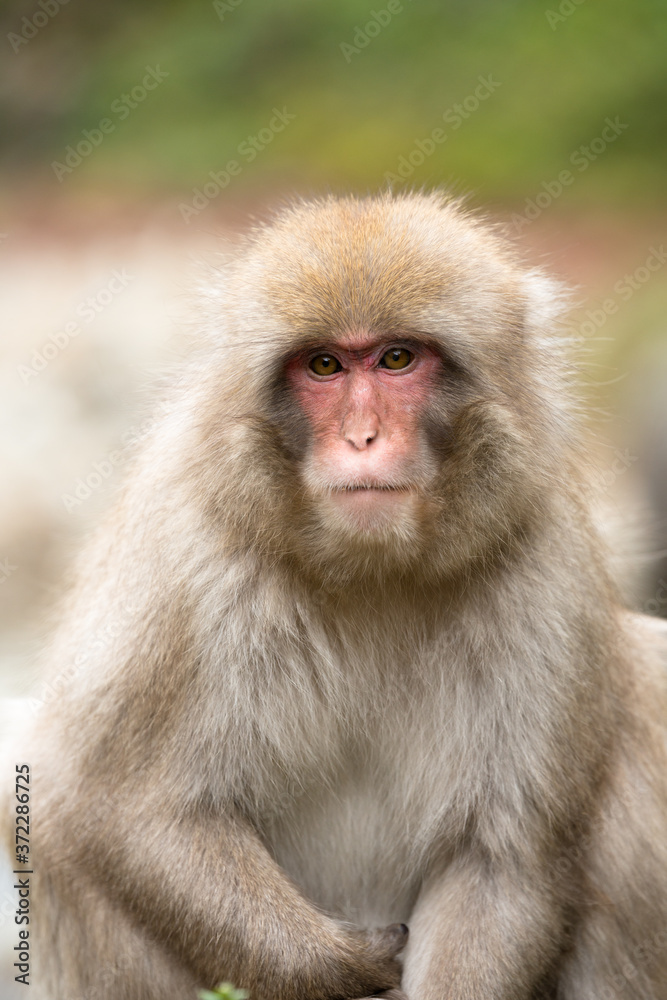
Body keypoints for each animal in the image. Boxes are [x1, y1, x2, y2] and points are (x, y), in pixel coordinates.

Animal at [7, 189, 667, 1000]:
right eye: (323, 365)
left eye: (396, 359)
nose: (361, 438)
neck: (371, 573)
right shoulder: (184, 552)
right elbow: (124, 809)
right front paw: (340, 966)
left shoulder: (546, 566)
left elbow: (504, 857)